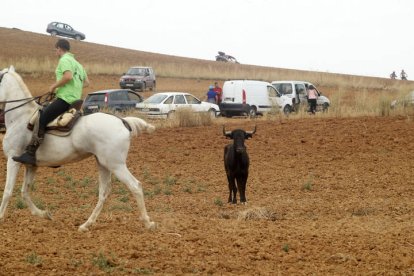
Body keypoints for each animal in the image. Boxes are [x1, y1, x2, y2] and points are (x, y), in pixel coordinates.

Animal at [0, 66, 155, 232]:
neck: (20, 118)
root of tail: (123, 121)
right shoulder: (31, 165)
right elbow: (25, 192)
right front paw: (44, 214)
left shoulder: (13, 160)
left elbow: (8, 191)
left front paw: (1, 217)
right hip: (103, 164)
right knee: (104, 193)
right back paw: (86, 224)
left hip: (116, 165)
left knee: (135, 186)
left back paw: (147, 223)